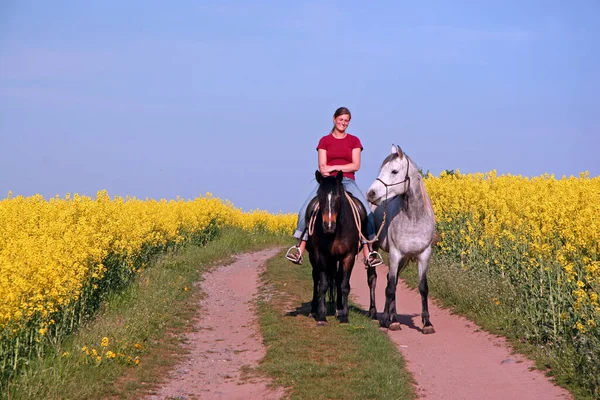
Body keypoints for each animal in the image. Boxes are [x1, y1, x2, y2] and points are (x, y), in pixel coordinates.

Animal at [366, 145, 436, 332]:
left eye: (394, 171)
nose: (371, 193)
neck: (413, 219)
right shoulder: (395, 254)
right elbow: (390, 288)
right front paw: (391, 321)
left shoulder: (423, 256)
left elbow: (423, 288)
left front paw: (427, 323)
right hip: (374, 249)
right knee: (373, 279)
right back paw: (376, 314)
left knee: (393, 281)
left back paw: (390, 315)